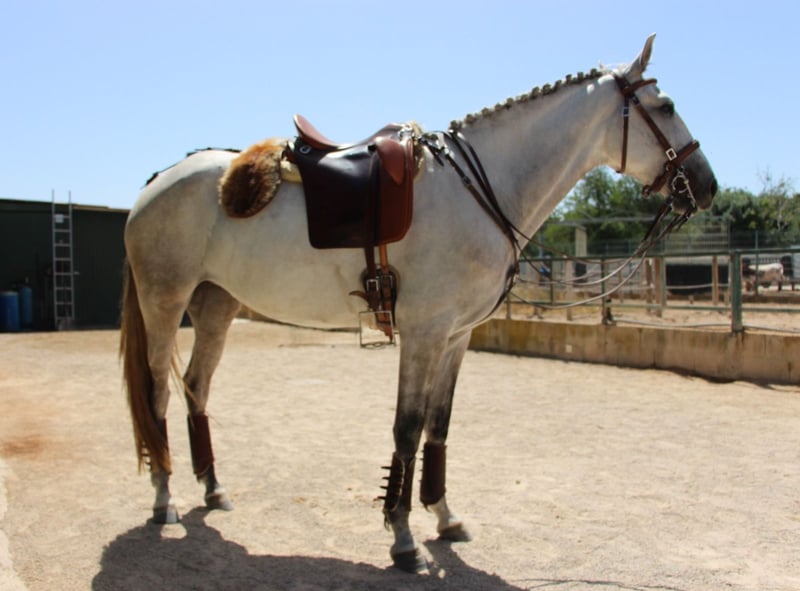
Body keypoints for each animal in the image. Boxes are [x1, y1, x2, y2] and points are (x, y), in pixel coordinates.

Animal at [120, 35, 717, 573]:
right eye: (666, 107)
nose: (706, 186)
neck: (478, 192)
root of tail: (159, 180)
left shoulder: (456, 336)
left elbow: (438, 426)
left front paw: (444, 516)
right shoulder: (425, 333)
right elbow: (406, 429)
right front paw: (403, 538)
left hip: (216, 305)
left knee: (196, 386)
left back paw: (212, 488)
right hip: (164, 301)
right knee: (156, 395)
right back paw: (164, 500)